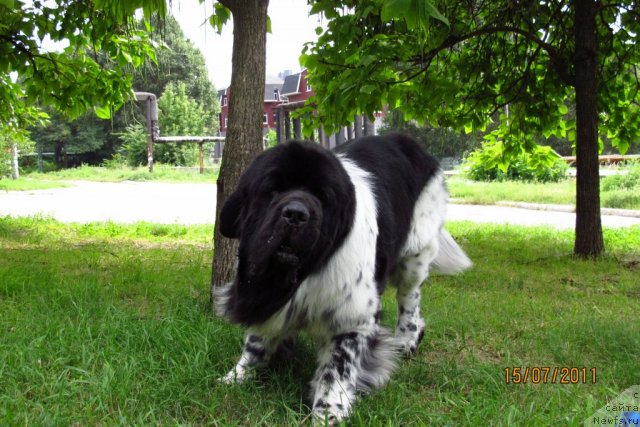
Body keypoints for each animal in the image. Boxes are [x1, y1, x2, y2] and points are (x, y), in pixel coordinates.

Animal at [215, 134, 470, 424]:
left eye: (322, 196)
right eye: (273, 190)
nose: (296, 213)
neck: (304, 272)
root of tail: (404, 140)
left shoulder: (352, 316)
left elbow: (337, 368)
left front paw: (328, 411)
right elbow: (257, 339)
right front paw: (238, 376)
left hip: (415, 252)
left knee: (409, 296)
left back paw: (407, 339)